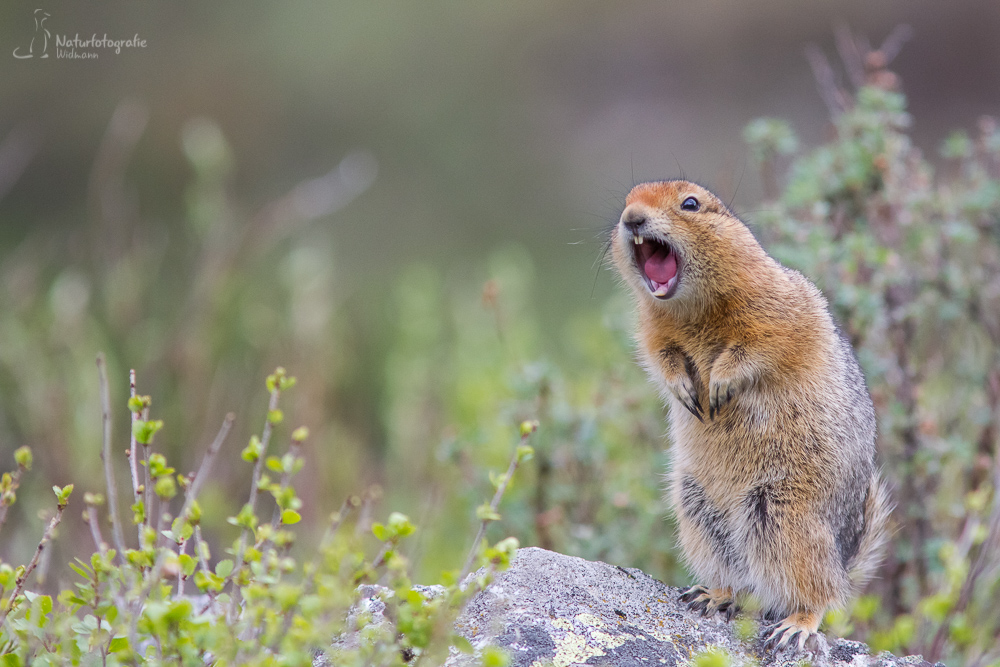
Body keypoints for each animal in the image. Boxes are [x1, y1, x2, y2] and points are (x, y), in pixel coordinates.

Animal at [608, 180, 892, 648]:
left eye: (690, 203)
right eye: (627, 200)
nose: (632, 218)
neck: (692, 309)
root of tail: (843, 558)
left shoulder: (773, 308)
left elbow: (758, 346)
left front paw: (720, 384)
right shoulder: (651, 329)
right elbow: (659, 355)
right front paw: (686, 390)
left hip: (786, 518)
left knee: (818, 593)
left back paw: (796, 625)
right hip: (699, 513)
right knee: (739, 578)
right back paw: (712, 595)